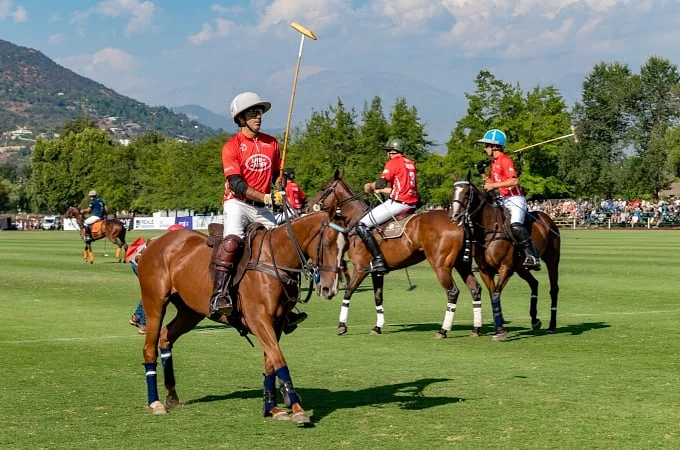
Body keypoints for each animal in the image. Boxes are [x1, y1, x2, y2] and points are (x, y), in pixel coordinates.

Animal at [138, 211, 348, 422]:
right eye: (327, 243)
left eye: (345, 246)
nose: (329, 288)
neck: (277, 257)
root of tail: (153, 242)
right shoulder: (259, 320)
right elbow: (279, 359)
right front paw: (297, 409)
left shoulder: (278, 322)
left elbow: (270, 362)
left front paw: (272, 407)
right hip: (154, 302)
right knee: (149, 348)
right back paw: (155, 403)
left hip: (190, 311)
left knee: (166, 336)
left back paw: (171, 396)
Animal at [308, 171, 484, 340]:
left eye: (323, 188)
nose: (309, 206)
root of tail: (459, 221)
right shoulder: (377, 272)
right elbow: (378, 297)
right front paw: (377, 327)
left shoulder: (361, 268)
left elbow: (348, 292)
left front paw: (342, 326)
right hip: (461, 263)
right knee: (475, 288)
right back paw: (476, 329)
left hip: (441, 265)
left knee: (453, 292)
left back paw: (443, 330)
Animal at [448, 174, 560, 340]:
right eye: (453, 192)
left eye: (467, 193)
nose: (454, 216)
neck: (489, 230)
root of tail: (548, 218)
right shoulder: (485, 270)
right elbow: (492, 294)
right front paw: (492, 328)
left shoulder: (505, 268)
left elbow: (496, 294)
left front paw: (500, 331)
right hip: (521, 267)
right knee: (534, 283)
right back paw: (535, 320)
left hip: (552, 259)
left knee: (554, 289)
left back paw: (552, 326)